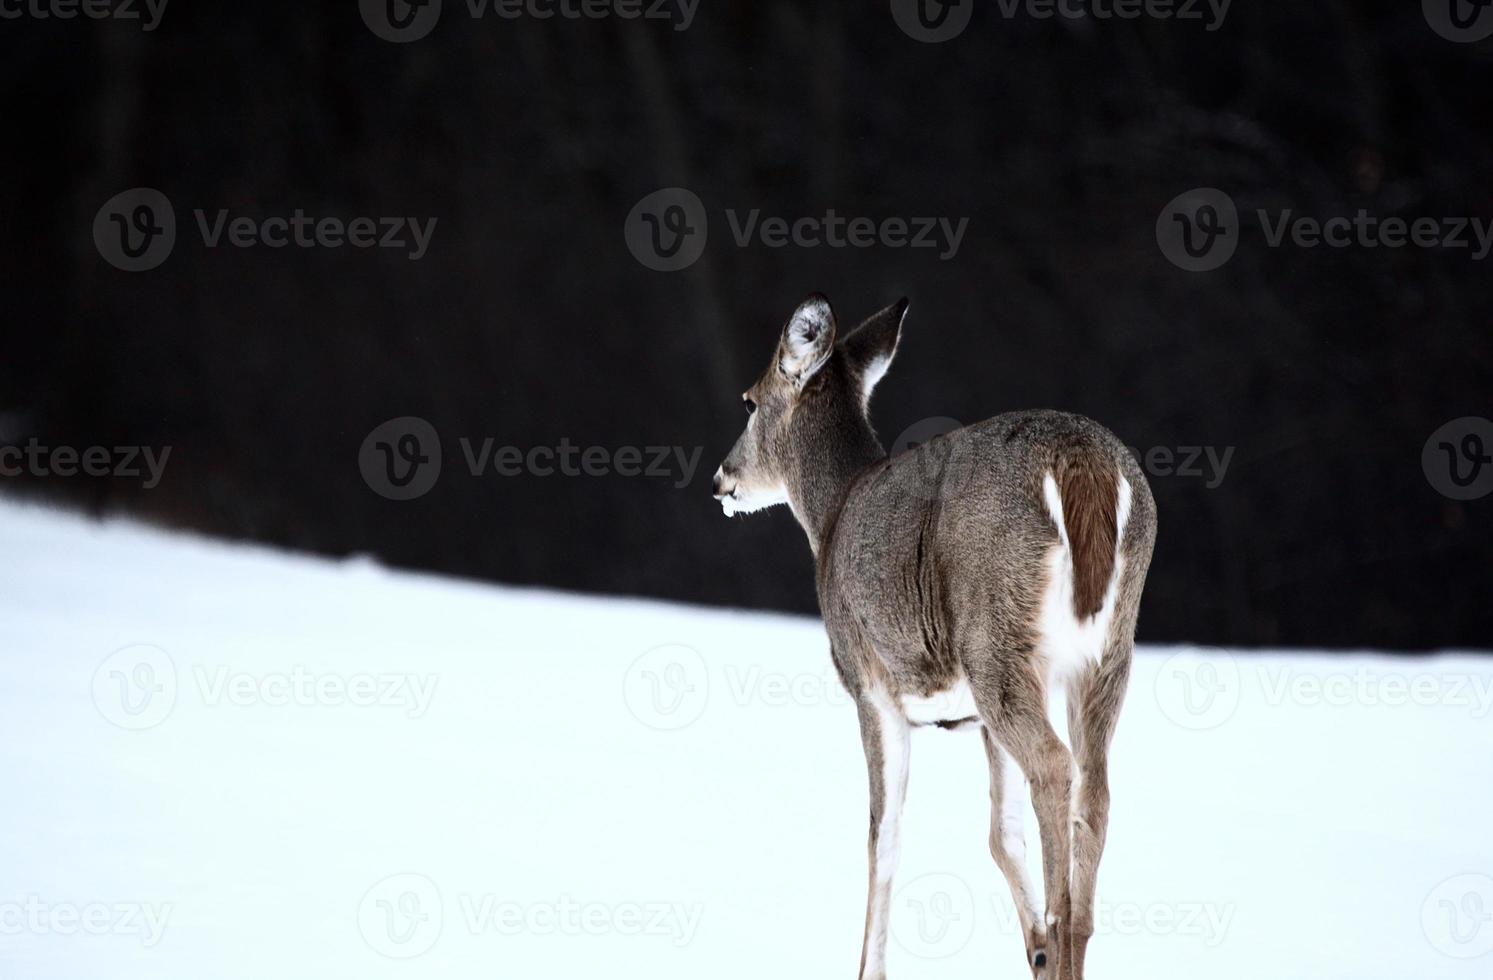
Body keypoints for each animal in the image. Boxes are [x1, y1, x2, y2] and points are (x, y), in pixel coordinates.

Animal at [710, 294, 1152, 980]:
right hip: (1107, 652)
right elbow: (1001, 834)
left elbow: (883, 837)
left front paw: (869, 971)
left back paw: (1058, 934)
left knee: (1055, 766)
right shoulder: (975, 719)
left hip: (996, 639)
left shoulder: (869, 683)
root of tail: (1085, 467)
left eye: (749, 402)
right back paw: (1064, 941)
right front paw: (1034, 947)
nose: (721, 479)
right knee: (1095, 788)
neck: (832, 515)